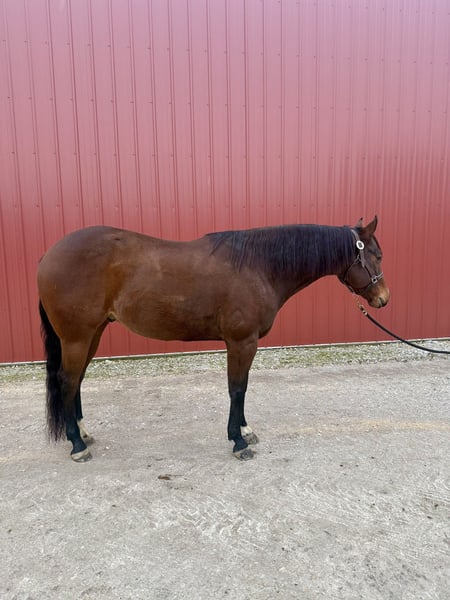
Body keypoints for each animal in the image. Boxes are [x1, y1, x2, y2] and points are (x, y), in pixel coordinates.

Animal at [37, 216, 389, 462]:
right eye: (375, 255)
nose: (383, 299)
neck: (258, 265)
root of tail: (49, 255)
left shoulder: (246, 344)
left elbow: (243, 387)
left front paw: (246, 430)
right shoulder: (241, 342)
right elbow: (237, 389)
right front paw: (239, 442)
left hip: (92, 333)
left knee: (77, 381)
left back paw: (83, 433)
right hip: (77, 337)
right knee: (67, 381)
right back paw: (77, 445)